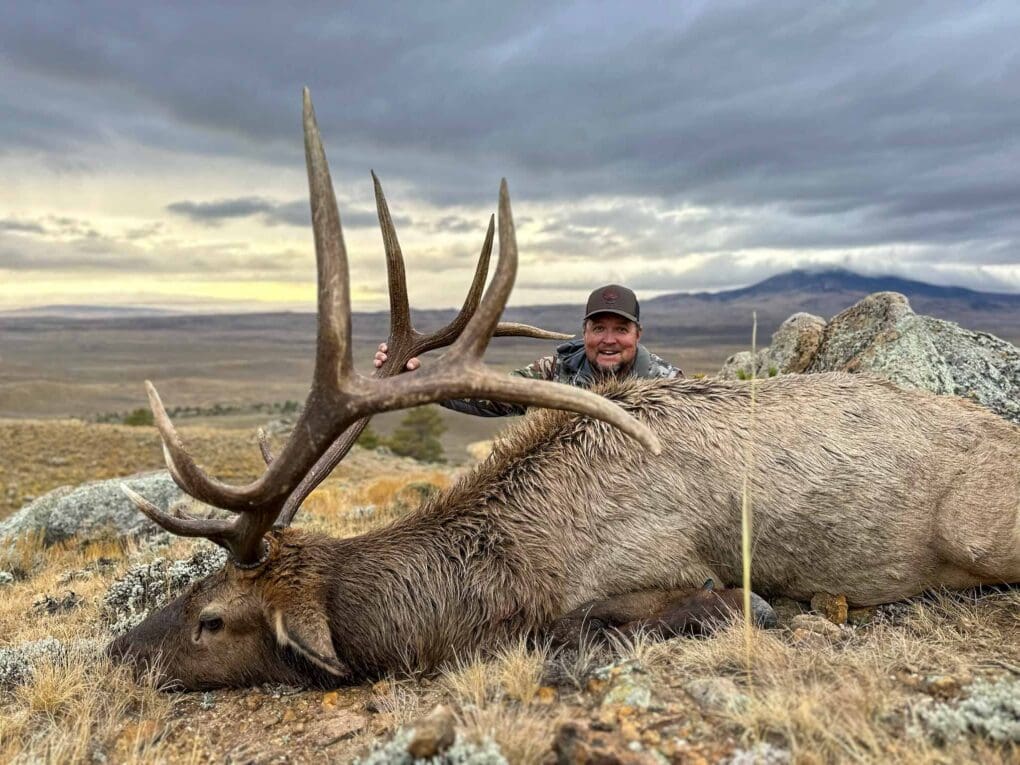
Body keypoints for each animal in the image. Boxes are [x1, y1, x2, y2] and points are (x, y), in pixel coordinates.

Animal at [109, 90, 1020, 691]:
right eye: (192, 586)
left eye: (213, 617)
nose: (116, 649)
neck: (520, 565)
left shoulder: (664, 567)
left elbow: (657, 615)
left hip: (978, 529)